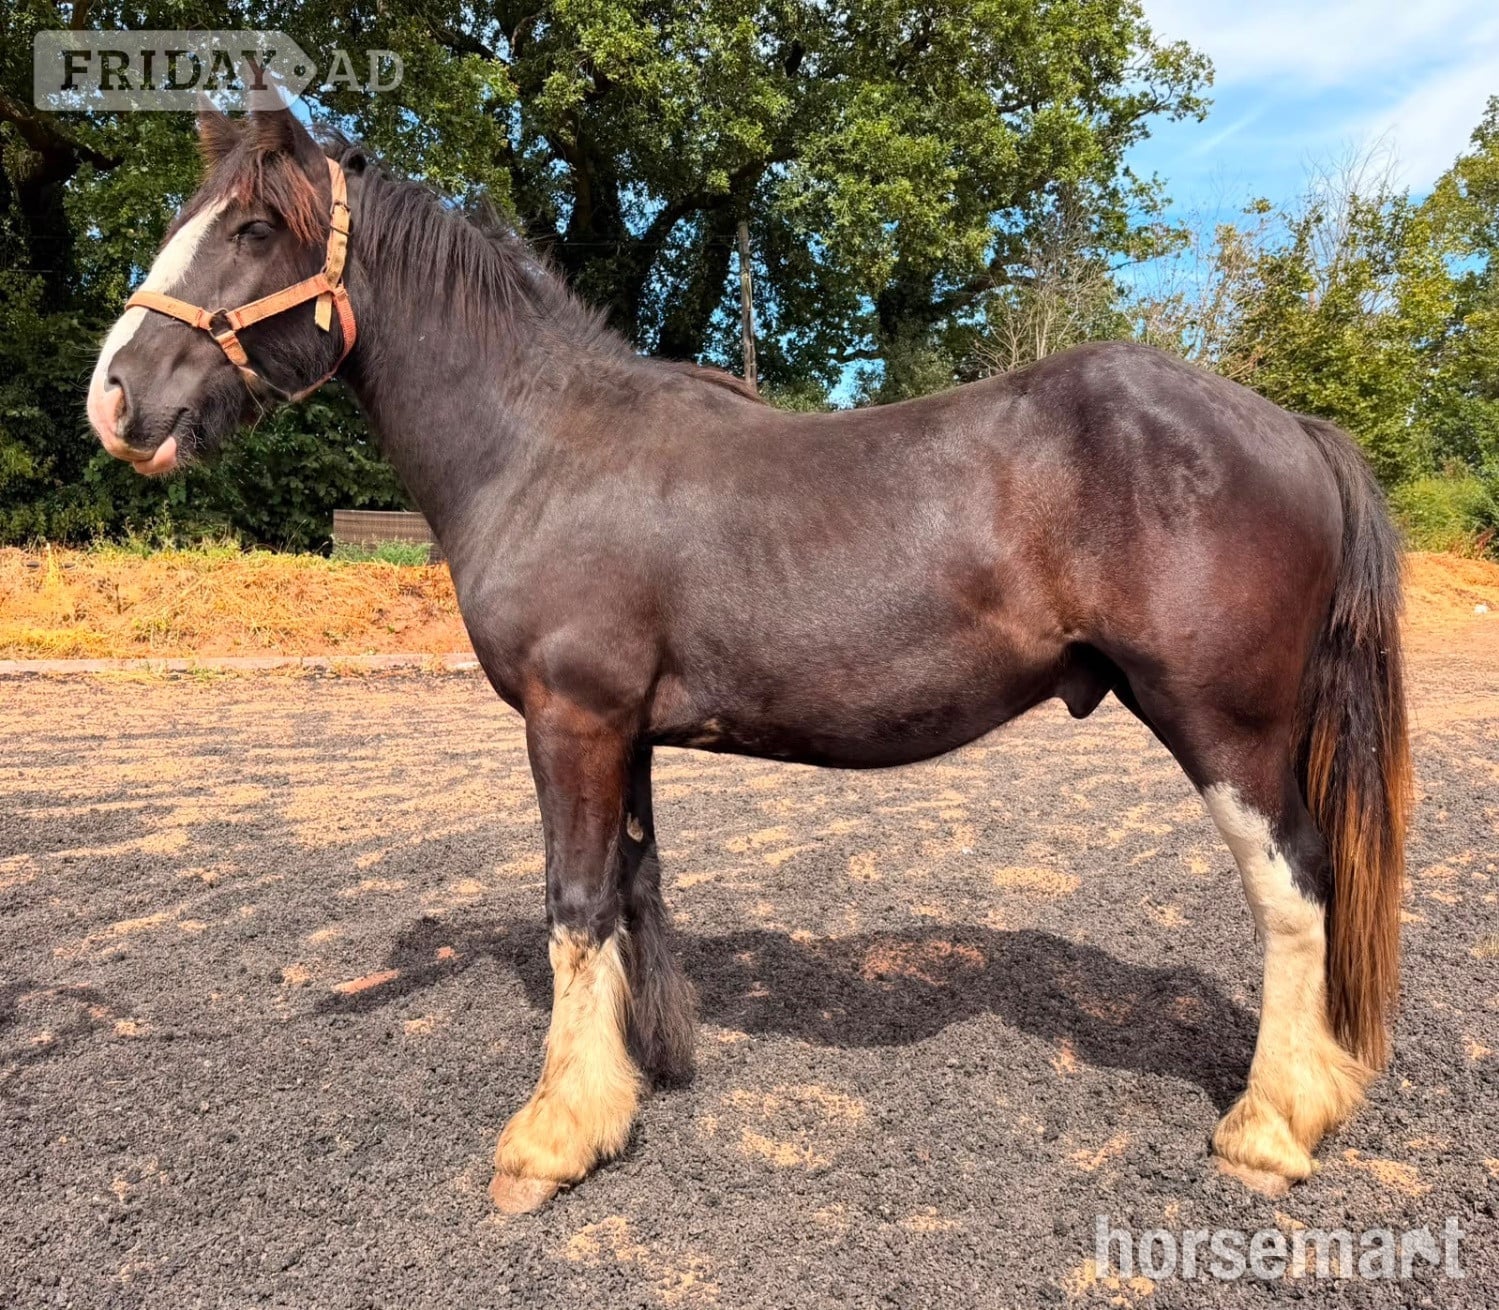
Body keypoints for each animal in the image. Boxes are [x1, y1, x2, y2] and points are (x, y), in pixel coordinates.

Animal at [87, 107, 1410, 1212]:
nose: (114, 399)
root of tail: (1291, 426)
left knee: (1292, 889)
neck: (543, 446)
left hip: (1224, 728)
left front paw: (550, 1138)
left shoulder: (570, 719)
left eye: (254, 228)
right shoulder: (621, 731)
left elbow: (574, 906)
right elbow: (629, 893)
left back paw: (1269, 1126)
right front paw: (634, 1077)